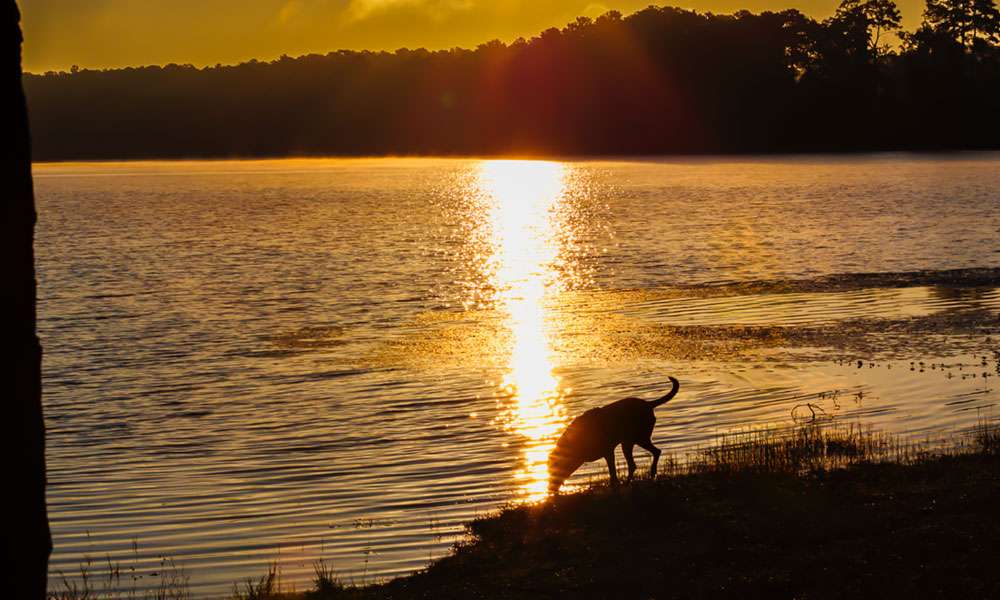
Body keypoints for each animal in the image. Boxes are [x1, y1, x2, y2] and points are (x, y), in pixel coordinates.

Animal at [548, 378, 680, 494]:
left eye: (552, 471)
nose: (550, 490)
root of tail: (648, 404)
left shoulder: (608, 452)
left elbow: (613, 473)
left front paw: (614, 487)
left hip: (636, 439)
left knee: (640, 460)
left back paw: (633, 481)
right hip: (634, 440)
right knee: (649, 455)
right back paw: (645, 476)